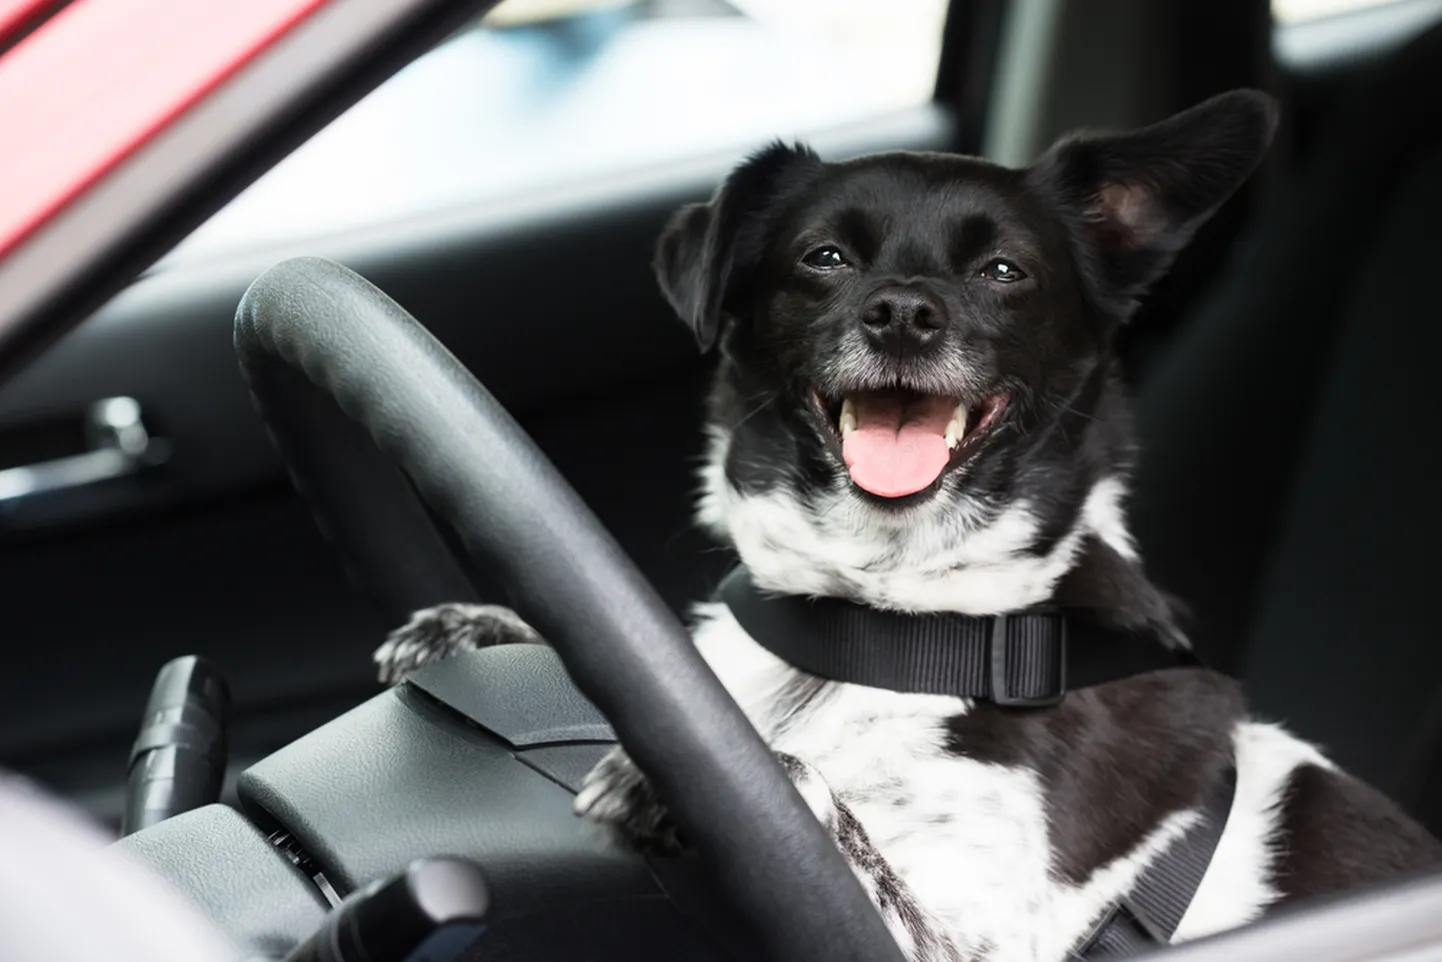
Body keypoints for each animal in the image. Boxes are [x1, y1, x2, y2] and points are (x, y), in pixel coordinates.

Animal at [373, 90, 1442, 960]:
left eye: (1005, 270)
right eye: (826, 258)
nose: (901, 314)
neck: (872, 624)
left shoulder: (964, 941)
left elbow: (801, 783)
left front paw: (670, 777)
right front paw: (478, 625)